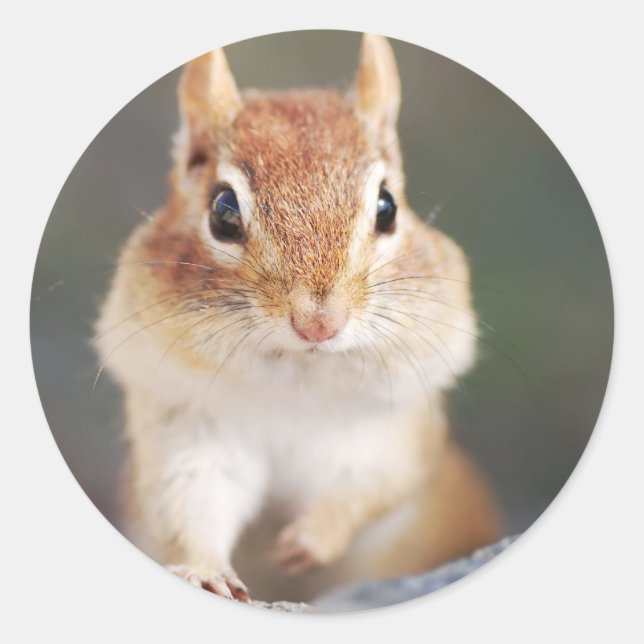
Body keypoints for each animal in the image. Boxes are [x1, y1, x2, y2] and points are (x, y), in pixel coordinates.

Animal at [95, 34, 502, 604]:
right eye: (222, 210)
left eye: (387, 207)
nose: (318, 322)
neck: (298, 377)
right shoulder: (186, 428)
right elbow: (192, 501)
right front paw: (205, 570)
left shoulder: (397, 429)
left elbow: (376, 487)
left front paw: (305, 542)